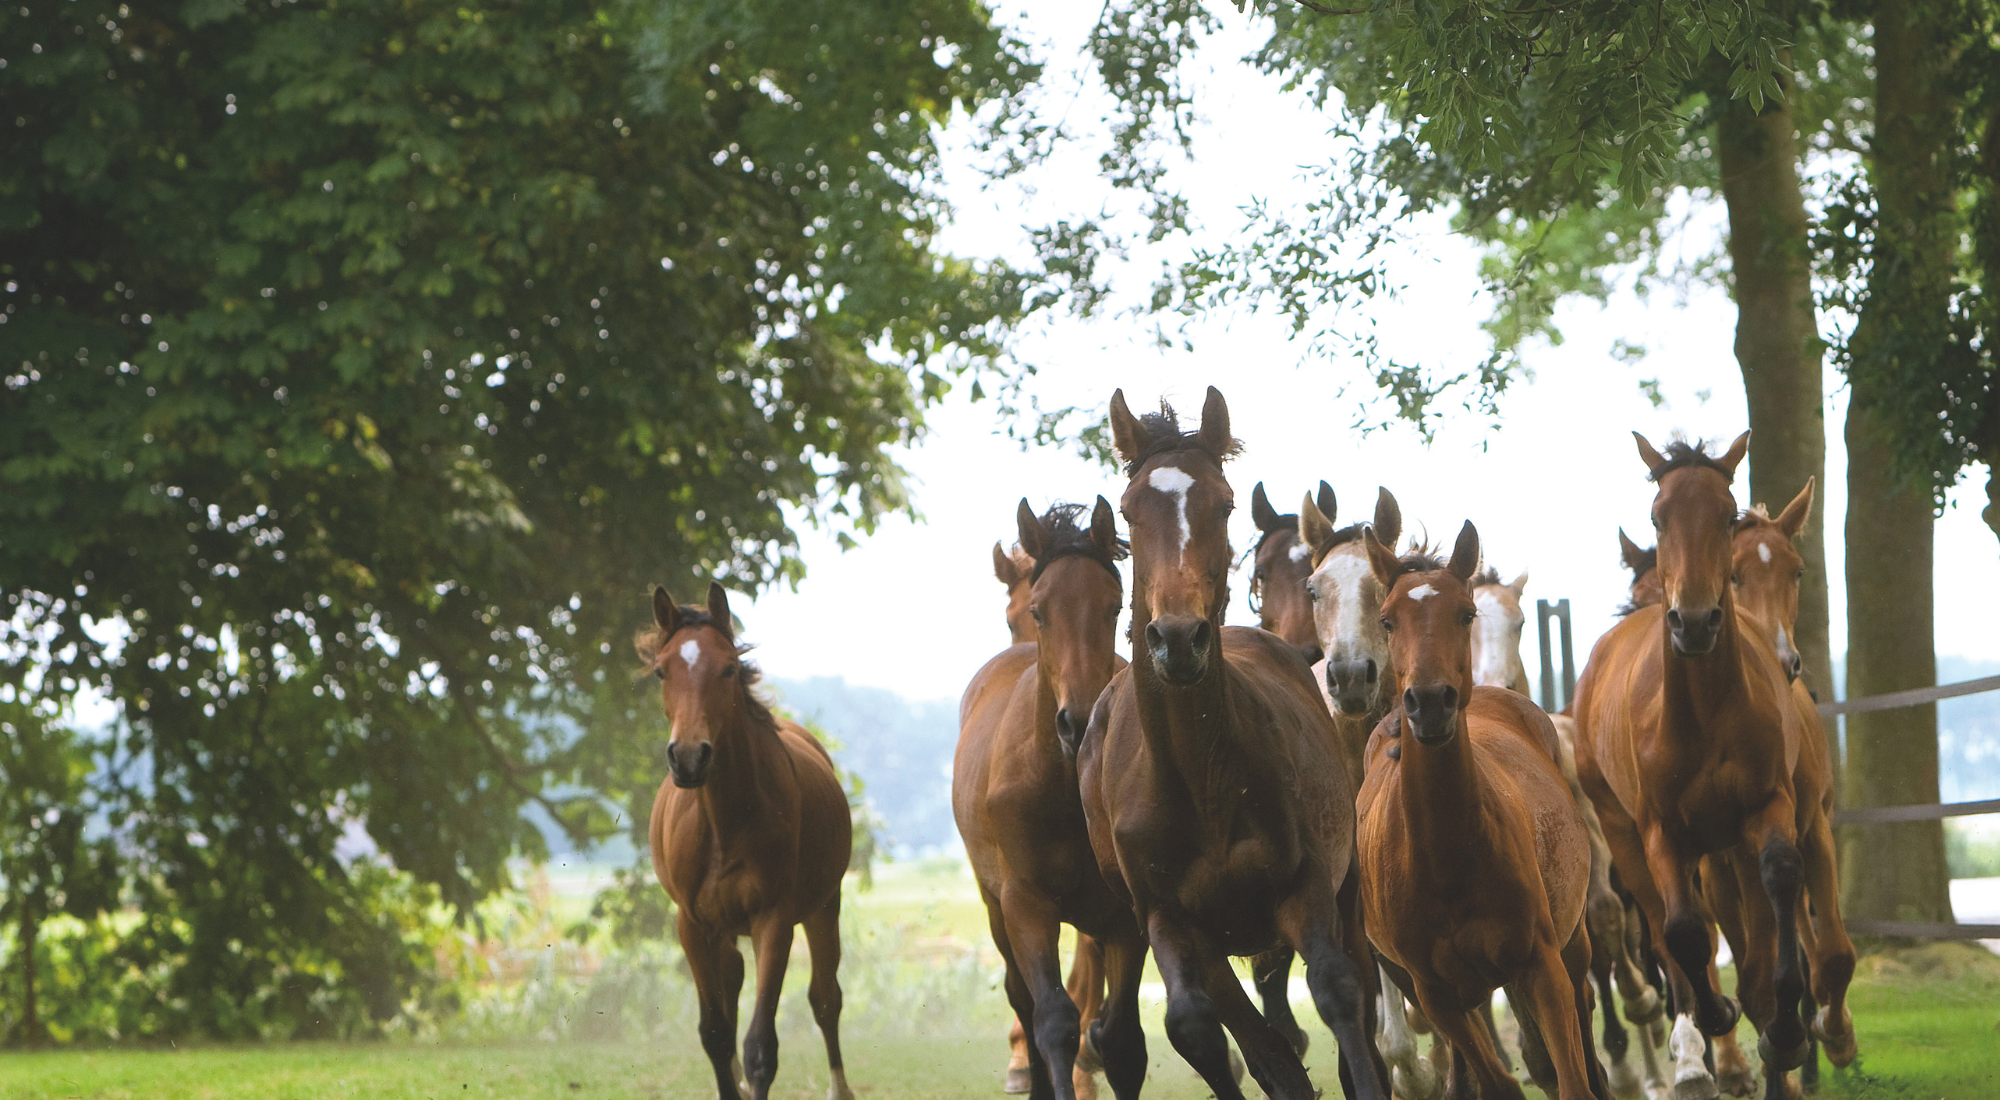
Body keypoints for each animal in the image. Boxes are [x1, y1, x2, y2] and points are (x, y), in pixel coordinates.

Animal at [643, 584, 855, 1100]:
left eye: (728, 668)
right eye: (661, 670)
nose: (688, 757)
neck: (724, 822)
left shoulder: (774, 921)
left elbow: (761, 1045)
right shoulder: (692, 927)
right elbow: (716, 1033)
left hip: (823, 909)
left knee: (825, 999)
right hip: (723, 930)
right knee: (733, 987)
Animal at [958, 500, 1141, 1100]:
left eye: (1113, 606)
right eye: (1038, 612)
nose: (1078, 722)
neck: (1063, 789)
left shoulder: (1124, 917)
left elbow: (1123, 1038)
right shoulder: (1026, 904)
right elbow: (1054, 1020)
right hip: (996, 906)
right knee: (1024, 996)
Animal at [1077, 388, 1387, 1100]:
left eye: (1221, 503)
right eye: (1129, 512)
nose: (1177, 638)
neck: (1201, 776)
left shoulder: (1307, 885)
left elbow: (1337, 992)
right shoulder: (1168, 918)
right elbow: (1199, 1029)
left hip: (1345, 892)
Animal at [1357, 521, 1606, 1100]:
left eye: (1464, 613)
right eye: (1387, 619)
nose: (1429, 702)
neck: (1446, 855)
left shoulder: (1540, 961)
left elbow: (1573, 1078)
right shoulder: (1435, 993)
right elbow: (1495, 1081)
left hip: (1572, 942)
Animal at [1572, 433, 1825, 1100]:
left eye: (1727, 514)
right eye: (1658, 516)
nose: (1692, 620)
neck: (1704, 710)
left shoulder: (1765, 806)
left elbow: (1780, 879)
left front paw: (1784, 1030)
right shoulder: (1660, 827)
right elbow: (1683, 930)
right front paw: (1712, 1021)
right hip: (1620, 830)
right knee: (1666, 928)